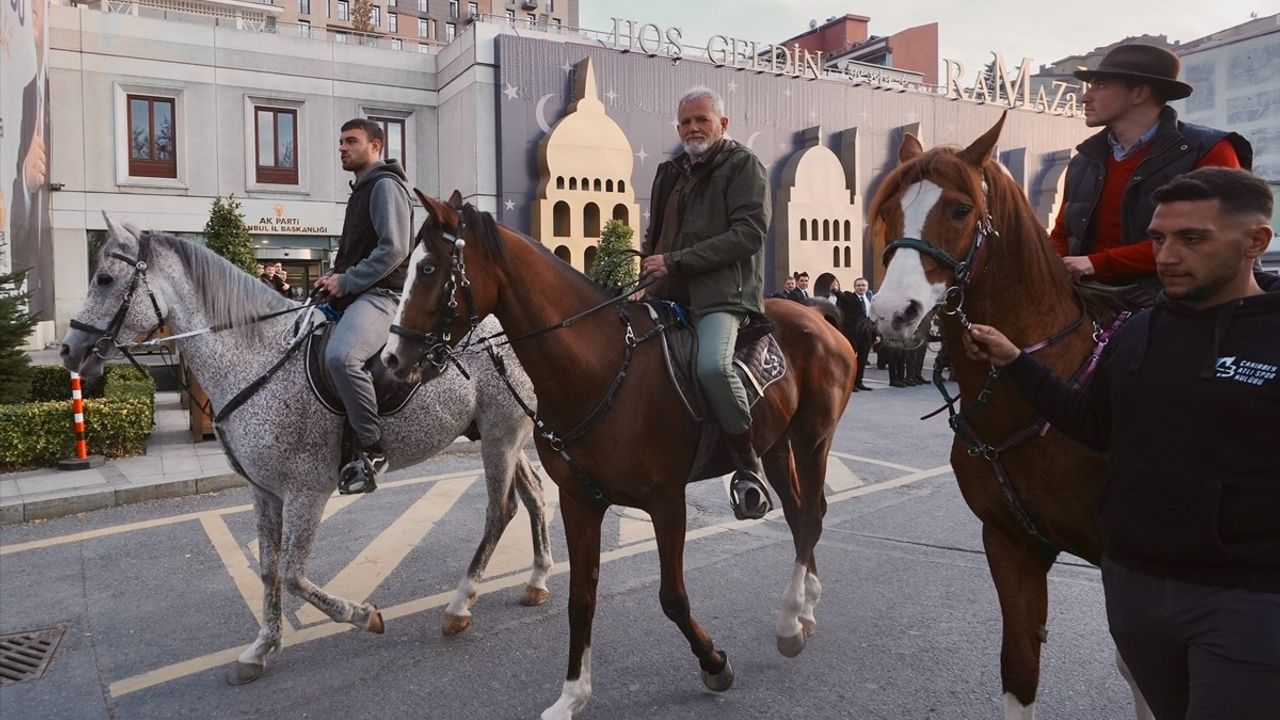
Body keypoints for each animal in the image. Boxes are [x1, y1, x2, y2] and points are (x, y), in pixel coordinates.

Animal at [60, 215, 552, 681]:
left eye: (104, 278)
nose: (68, 350)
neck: (254, 360)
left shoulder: (306, 492)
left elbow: (293, 576)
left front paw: (363, 615)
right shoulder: (264, 491)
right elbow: (268, 569)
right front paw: (262, 648)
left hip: (501, 435)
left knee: (500, 510)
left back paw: (460, 605)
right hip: (498, 434)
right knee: (532, 493)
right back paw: (537, 578)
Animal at [381, 190, 860, 717]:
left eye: (428, 269)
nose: (390, 359)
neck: (600, 368)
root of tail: (818, 316)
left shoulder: (667, 502)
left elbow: (672, 597)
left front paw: (714, 662)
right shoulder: (579, 500)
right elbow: (581, 599)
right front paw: (572, 694)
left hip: (813, 439)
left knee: (811, 516)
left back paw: (791, 622)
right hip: (774, 446)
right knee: (798, 515)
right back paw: (805, 608)